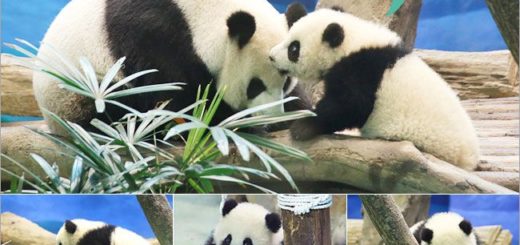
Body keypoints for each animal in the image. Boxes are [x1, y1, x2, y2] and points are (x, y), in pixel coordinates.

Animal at [34, 0, 310, 134]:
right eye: (255, 86)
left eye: (286, 82)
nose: (273, 116)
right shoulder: (152, 36)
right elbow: (174, 97)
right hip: (80, 93)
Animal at [270, 7, 482, 168]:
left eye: (294, 49)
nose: (271, 57)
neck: (353, 42)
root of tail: (467, 160)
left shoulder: (361, 70)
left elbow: (351, 105)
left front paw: (303, 126)